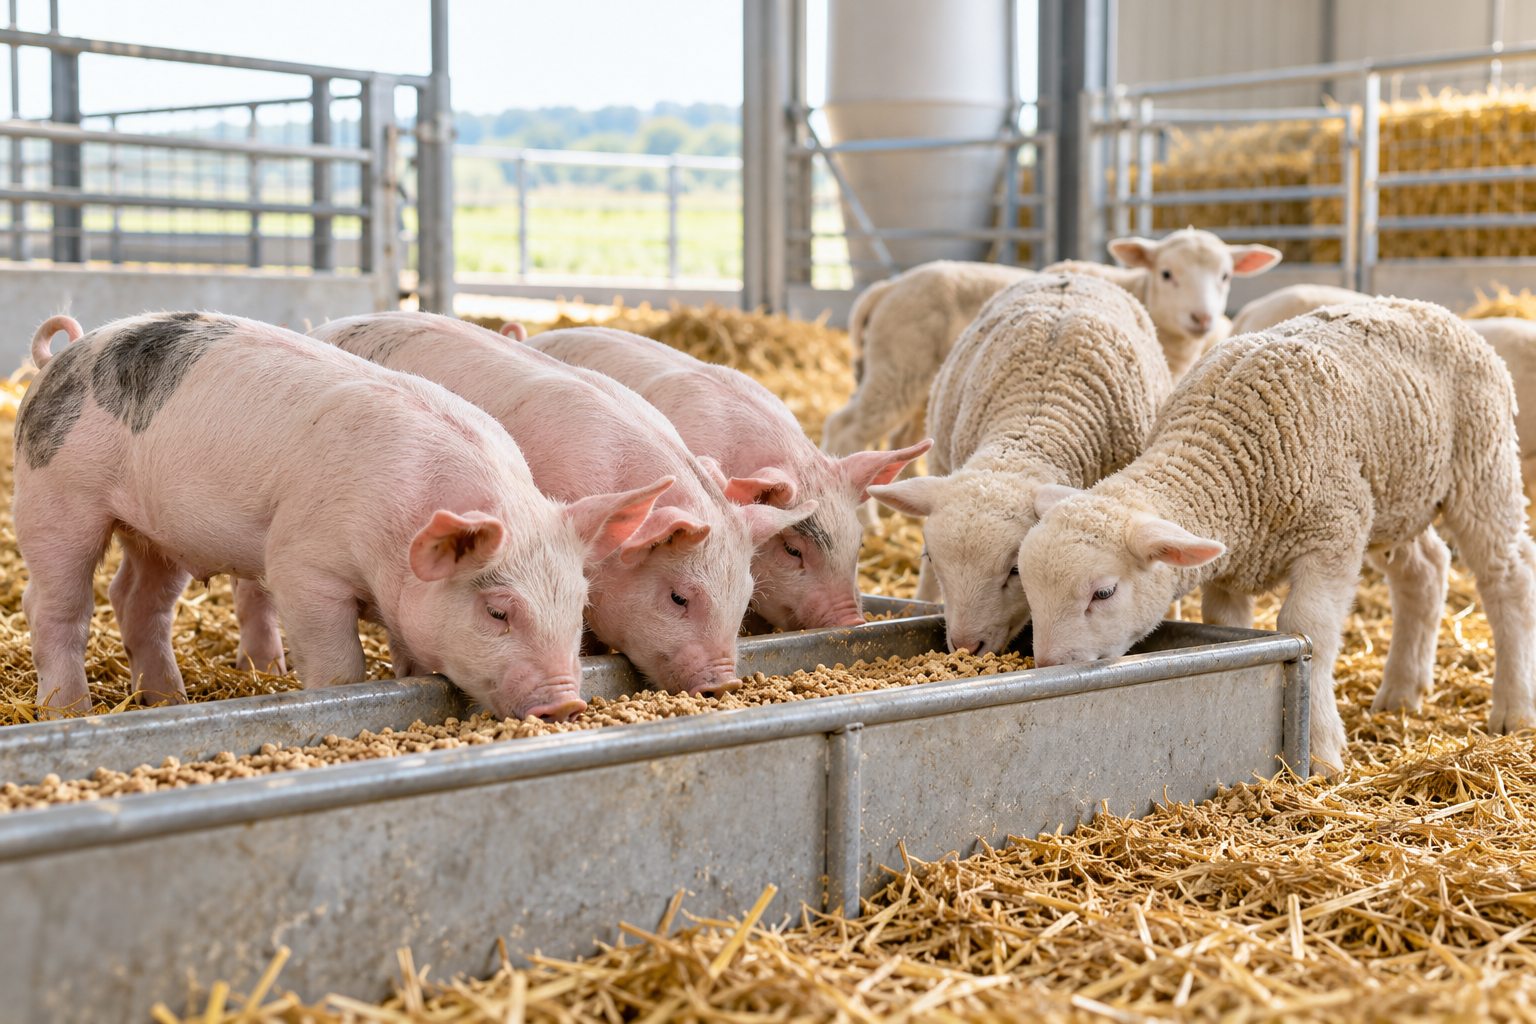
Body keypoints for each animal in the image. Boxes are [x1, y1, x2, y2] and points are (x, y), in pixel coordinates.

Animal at [13, 312, 664, 721]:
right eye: (498, 611)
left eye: (578, 606)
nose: (568, 703)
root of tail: (60, 358)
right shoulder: (302, 564)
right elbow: (339, 664)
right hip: (56, 497)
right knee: (53, 607)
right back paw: (69, 711)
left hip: (155, 532)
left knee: (137, 601)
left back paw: (168, 702)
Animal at [1016, 298, 1536, 775]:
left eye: (1103, 593)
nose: (1047, 666)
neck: (1223, 451)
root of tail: (1435, 310)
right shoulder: (1230, 565)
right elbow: (1226, 620)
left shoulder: (1333, 530)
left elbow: (1308, 627)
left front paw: (1321, 750)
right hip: (1396, 498)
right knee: (1425, 573)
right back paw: (1401, 693)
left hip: (1482, 461)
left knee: (1507, 576)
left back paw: (1513, 708)